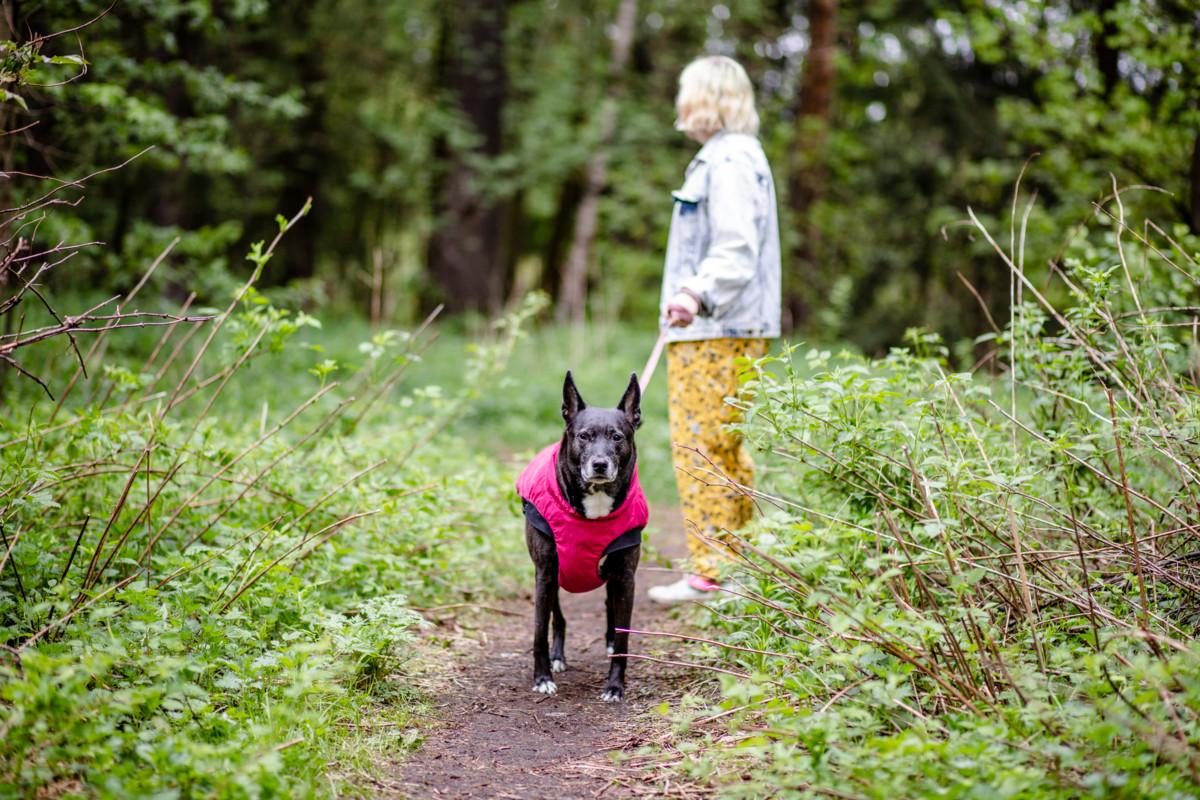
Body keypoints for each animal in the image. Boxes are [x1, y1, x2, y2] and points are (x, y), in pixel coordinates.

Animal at [518, 371, 648, 700]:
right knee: (559, 619)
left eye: (617, 437)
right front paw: (542, 678)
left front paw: (615, 686)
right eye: (584, 436)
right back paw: (557, 657)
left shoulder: (626, 576)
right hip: (552, 580)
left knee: (609, 612)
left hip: (612, 579)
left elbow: (623, 635)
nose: (599, 464)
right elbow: (539, 631)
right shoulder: (545, 573)